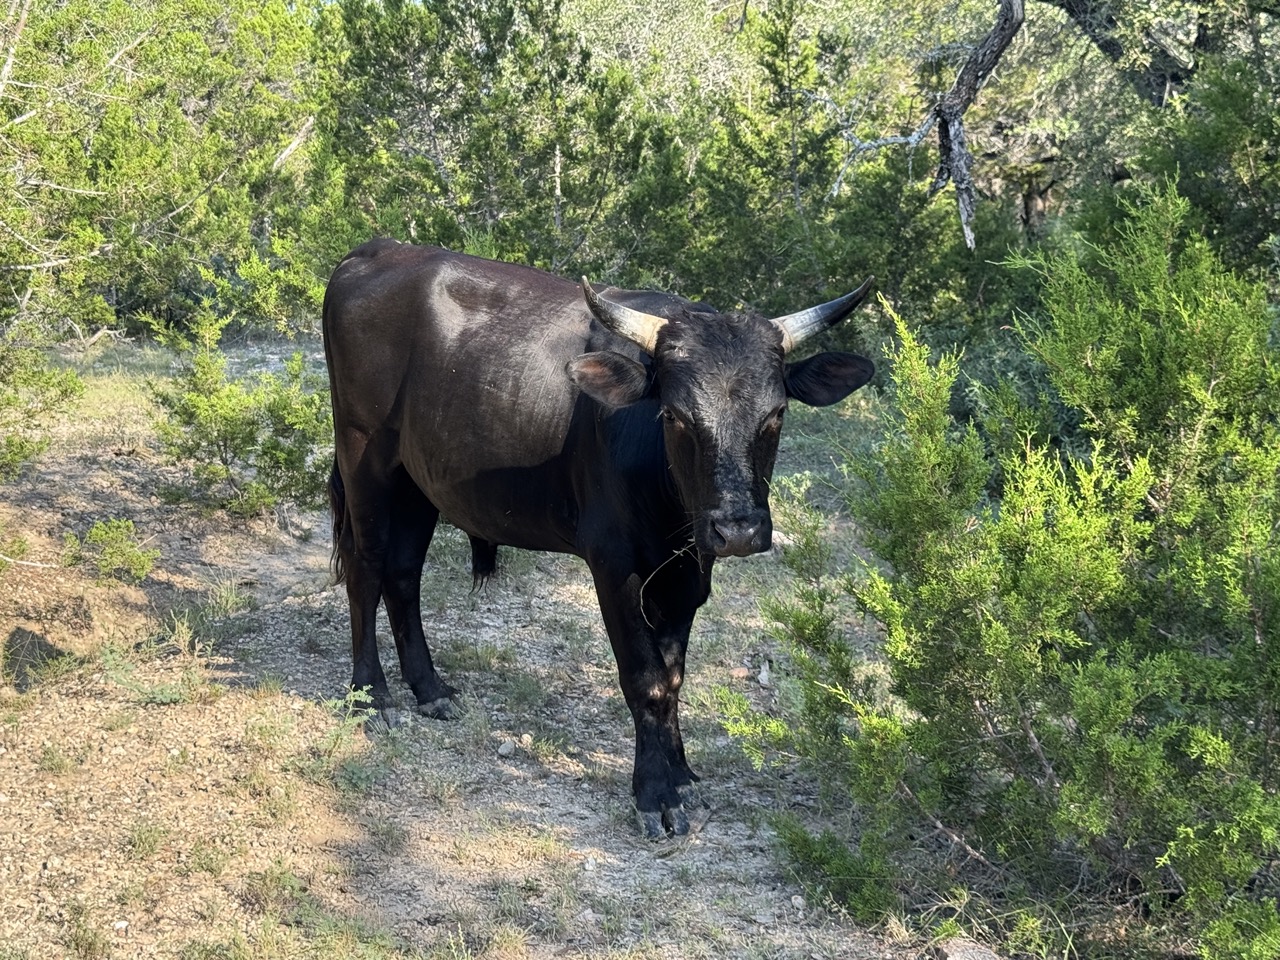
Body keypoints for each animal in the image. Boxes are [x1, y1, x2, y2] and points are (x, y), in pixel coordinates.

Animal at [323, 238, 874, 837]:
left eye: (775, 413)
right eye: (674, 415)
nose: (737, 529)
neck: (670, 508)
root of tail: (377, 249)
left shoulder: (686, 575)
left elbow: (673, 676)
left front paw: (681, 775)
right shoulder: (614, 564)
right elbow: (645, 677)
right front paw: (655, 795)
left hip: (417, 478)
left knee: (403, 573)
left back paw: (430, 690)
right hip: (363, 455)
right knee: (366, 565)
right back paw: (371, 695)